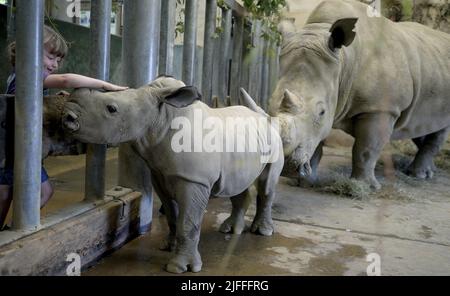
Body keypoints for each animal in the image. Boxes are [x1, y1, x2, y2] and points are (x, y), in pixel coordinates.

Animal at [268, 0, 450, 188]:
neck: (344, 61)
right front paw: (305, 182)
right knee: (418, 124)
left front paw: (364, 186)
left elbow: (366, 149)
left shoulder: (380, 108)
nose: (284, 166)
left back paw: (419, 175)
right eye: (269, 103)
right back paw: (429, 171)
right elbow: (316, 142)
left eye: (322, 112)